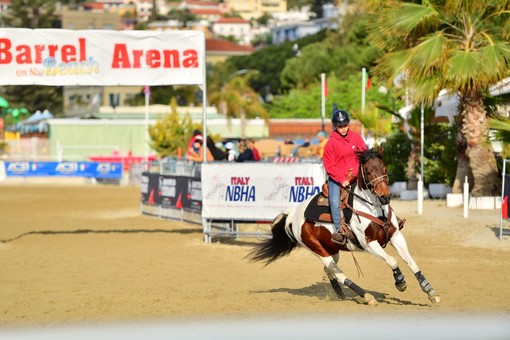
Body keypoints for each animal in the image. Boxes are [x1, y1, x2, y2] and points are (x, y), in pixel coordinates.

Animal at [247, 145, 438, 306]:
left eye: (384, 169)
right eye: (367, 171)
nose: (385, 197)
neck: (374, 208)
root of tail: (293, 214)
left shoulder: (396, 236)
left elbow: (411, 262)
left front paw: (430, 291)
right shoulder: (369, 243)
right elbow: (392, 260)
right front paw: (400, 282)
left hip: (332, 249)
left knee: (329, 269)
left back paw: (339, 292)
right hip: (317, 249)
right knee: (337, 272)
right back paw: (365, 295)